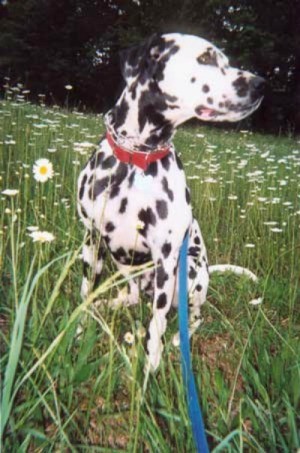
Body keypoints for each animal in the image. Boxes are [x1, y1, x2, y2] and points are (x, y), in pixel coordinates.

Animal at [77, 32, 264, 370]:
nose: (260, 84)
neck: (136, 160)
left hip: (188, 270)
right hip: (125, 266)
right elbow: (85, 293)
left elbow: (157, 321)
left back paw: (182, 335)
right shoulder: (91, 241)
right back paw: (112, 302)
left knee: (196, 314)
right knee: (132, 295)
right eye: (206, 58)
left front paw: (151, 365)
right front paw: (77, 331)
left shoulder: (166, 260)